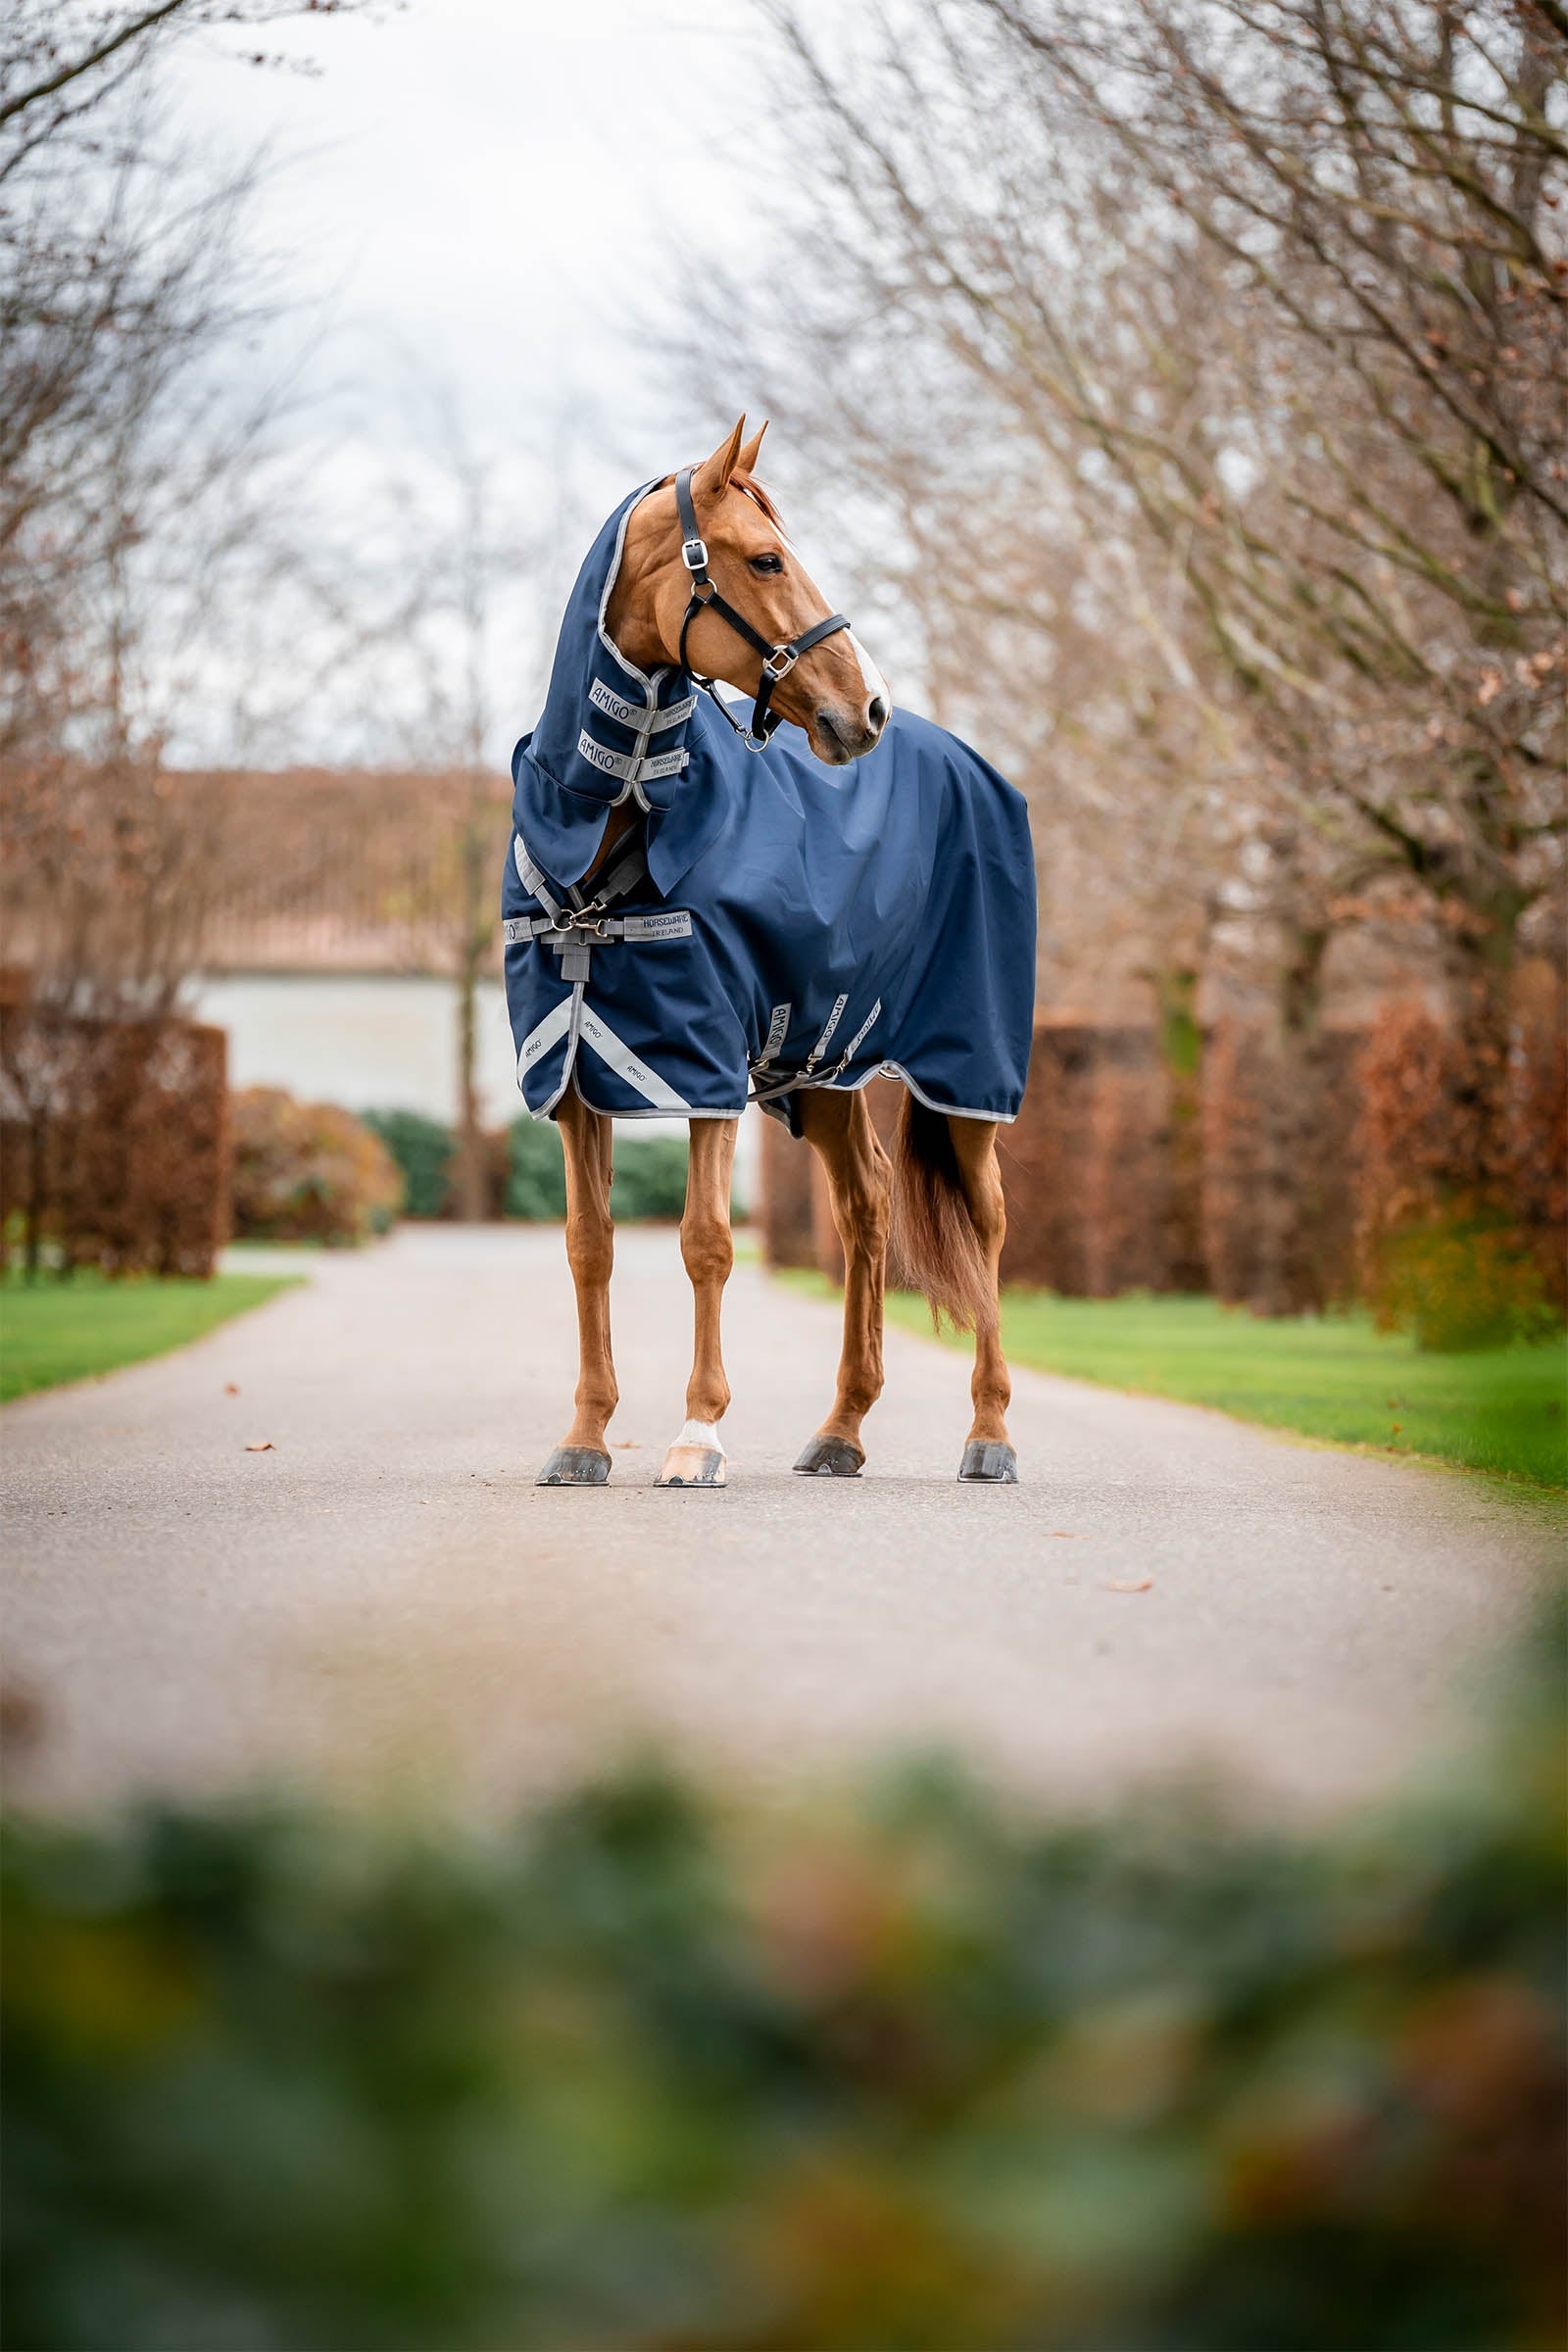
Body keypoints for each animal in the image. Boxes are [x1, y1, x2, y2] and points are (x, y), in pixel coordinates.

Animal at [503, 417, 1036, 1491]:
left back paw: (990, 1433)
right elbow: (589, 1246)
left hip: (970, 1072)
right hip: (822, 1070)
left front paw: (696, 1434)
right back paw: (842, 1429)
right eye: (765, 559)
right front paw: (584, 1438)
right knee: (867, 1207)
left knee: (989, 1219)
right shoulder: (576, 1074)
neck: (614, 836)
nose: (866, 711)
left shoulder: (704, 1066)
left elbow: (707, 1241)